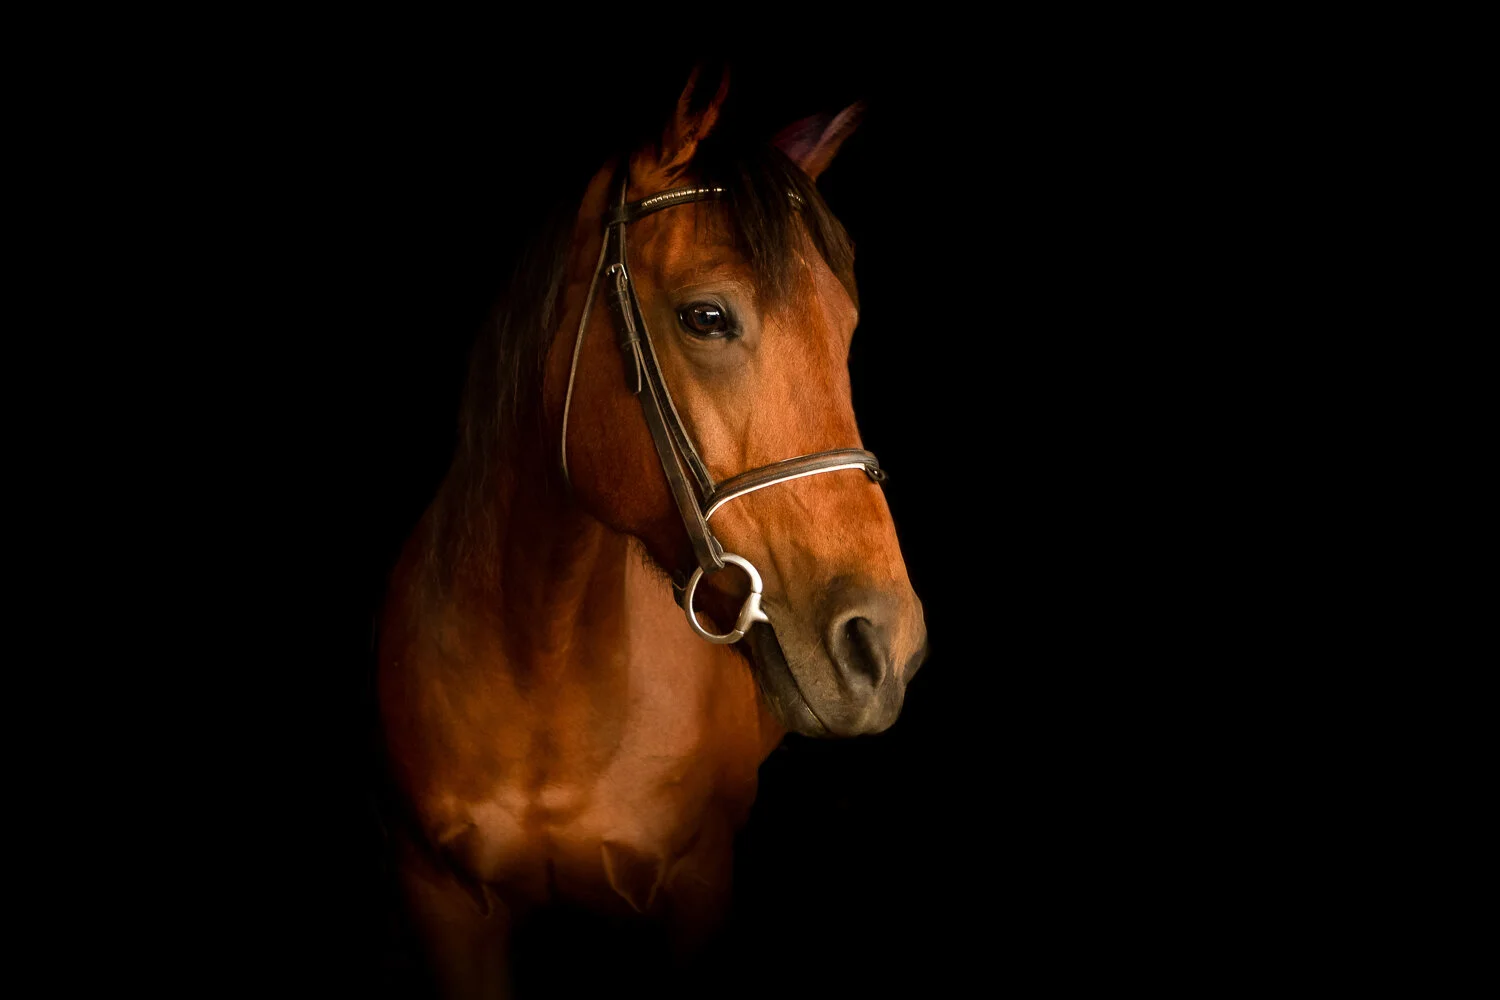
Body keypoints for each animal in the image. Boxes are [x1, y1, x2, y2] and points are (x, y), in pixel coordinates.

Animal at [376, 68, 928, 996]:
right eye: (706, 317)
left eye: (846, 329)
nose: (886, 647)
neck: (542, 663)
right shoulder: (442, 905)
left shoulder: (696, 890)